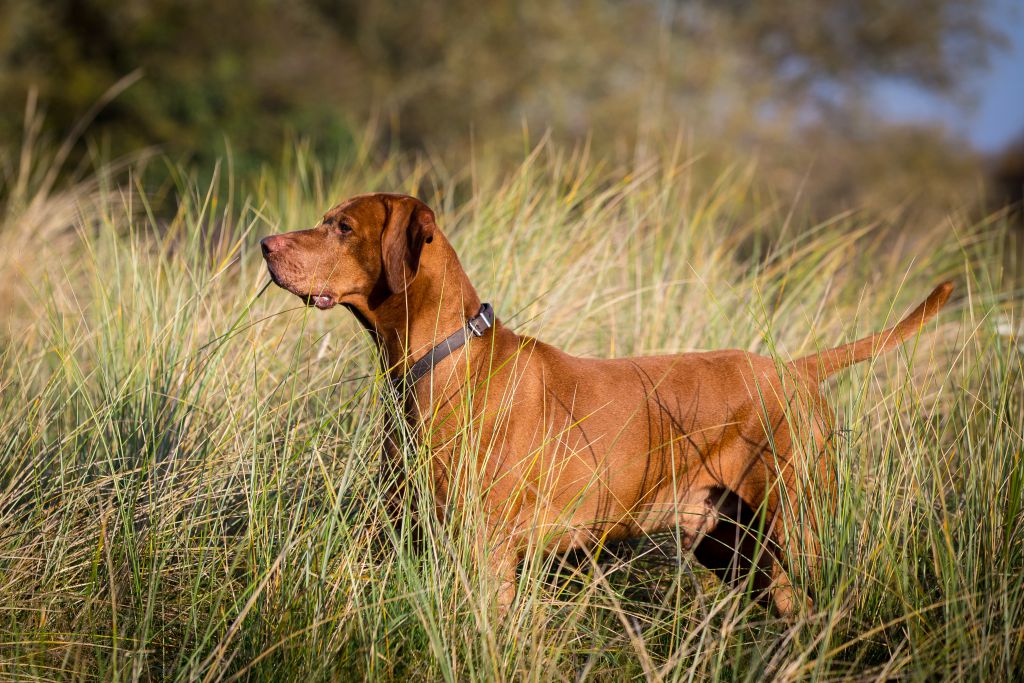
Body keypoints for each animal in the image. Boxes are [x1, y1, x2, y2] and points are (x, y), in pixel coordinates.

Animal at [262, 191, 950, 614]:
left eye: (342, 227)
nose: (266, 244)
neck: (443, 359)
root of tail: (796, 369)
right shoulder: (413, 530)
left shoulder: (487, 550)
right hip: (733, 547)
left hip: (797, 526)